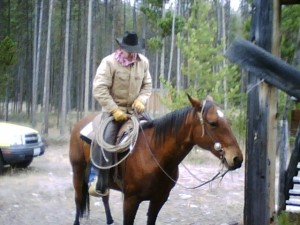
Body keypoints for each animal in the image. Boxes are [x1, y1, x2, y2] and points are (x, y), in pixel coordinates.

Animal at [69, 94, 243, 225]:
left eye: (229, 122)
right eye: (213, 123)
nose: (237, 159)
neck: (154, 156)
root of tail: (79, 124)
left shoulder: (159, 199)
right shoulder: (130, 200)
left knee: (104, 197)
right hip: (77, 170)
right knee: (78, 198)